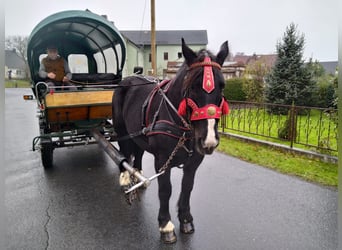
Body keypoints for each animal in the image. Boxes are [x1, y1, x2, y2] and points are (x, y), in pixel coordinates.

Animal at [113, 38, 228, 243]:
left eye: (222, 85)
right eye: (192, 86)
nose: (209, 140)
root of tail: (127, 80)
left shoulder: (194, 161)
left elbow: (187, 187)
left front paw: (185, 219)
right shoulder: (162, 161)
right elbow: (165, 190)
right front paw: (166, 225)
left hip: (138, 133)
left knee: (138, 152)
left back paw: (138, 175)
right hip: (122, 130)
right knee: (124, 152)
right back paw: (126, 177)